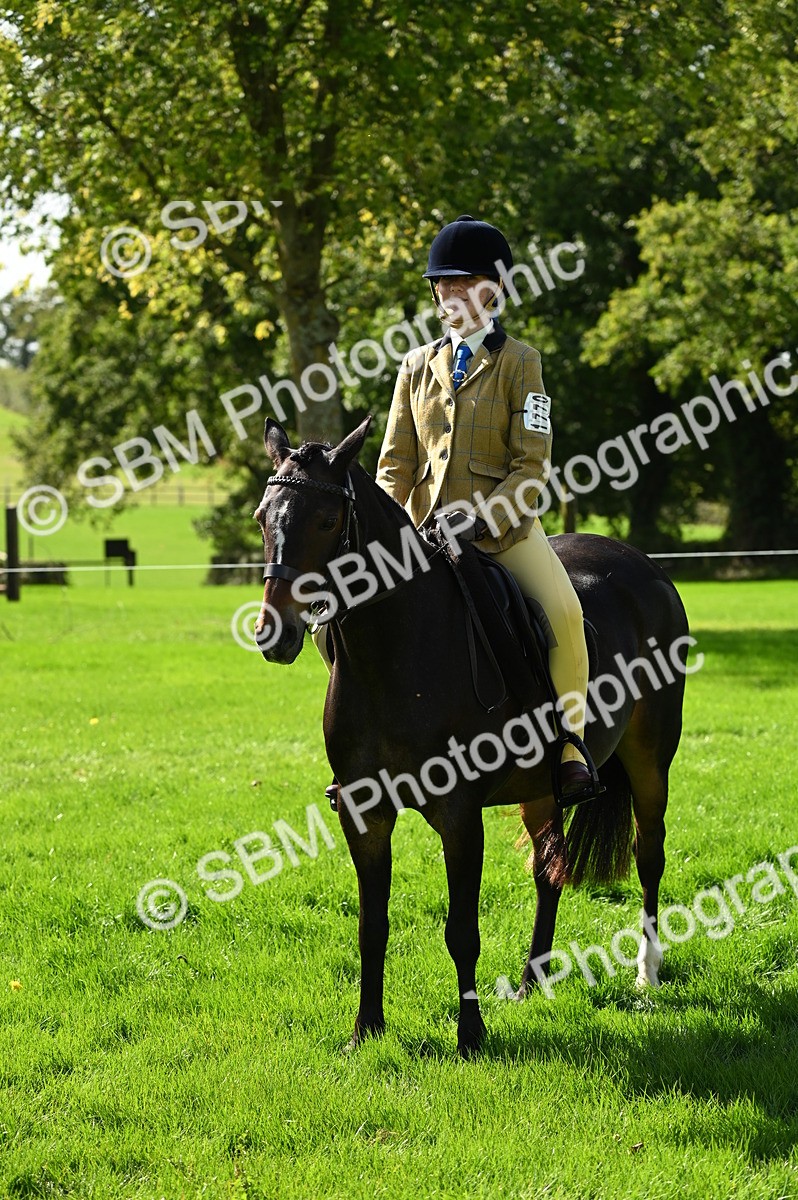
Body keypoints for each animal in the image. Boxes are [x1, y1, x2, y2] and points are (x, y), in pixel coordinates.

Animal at [253, 415, 689, 1057]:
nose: (274, 634)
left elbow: (461, 929)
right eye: (264, 517)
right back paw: (533, 980)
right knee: (549, 869)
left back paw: (646, 974)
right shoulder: (364, 813)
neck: (395, 654)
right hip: (542, 787)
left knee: (648, 854)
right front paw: (366, 1030)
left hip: (650, 760)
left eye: (327, 521)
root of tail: (646, 566)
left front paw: (470, 1037)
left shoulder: (459, 813)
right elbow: (371, 924)